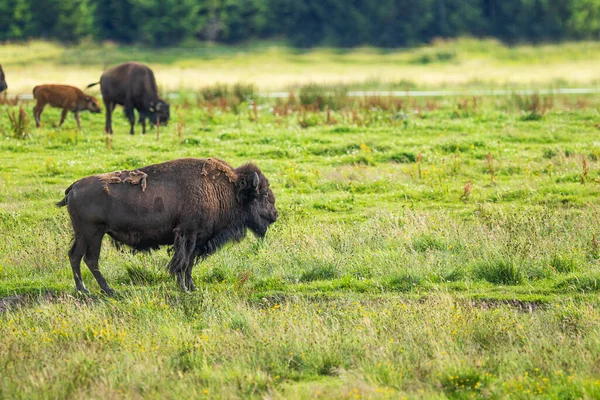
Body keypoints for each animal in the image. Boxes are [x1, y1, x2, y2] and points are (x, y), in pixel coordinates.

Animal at [56, 157, 278, 294]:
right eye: (263, 194)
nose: (274, 215)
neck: (225, 189)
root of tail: (74, 187)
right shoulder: (187, 235)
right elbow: (182, 263)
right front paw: (185, 288)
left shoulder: (196, 239)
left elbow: (189, 264)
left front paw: (192, 287)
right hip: (93, 233)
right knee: (90, 259)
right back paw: (107, 290)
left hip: (85, 234)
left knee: (75, 256)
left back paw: (84, 289)